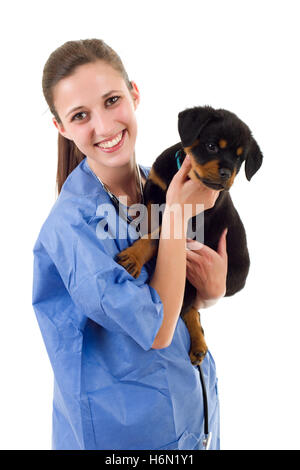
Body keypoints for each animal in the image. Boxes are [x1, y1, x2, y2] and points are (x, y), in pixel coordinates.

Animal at [115, 106, 262, 368]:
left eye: (239, 158)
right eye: (212, 146)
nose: (226, 172)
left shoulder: (190, 222)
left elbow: (157, 236)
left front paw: (133, 256)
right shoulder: (154, 188)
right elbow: (151, 221)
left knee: (189, 308)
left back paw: (199, 345)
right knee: (189, 309)